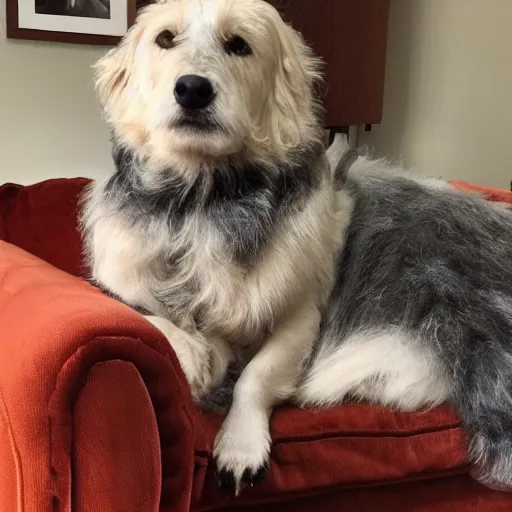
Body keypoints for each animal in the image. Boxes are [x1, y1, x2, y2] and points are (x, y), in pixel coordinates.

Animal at [82, 0, 512, 498]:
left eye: (239, 45)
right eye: (165, 39)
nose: (192, 89)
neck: (204, 202)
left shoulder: (301, 318)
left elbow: (256, 376)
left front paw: (239, 446)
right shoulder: (118, 280)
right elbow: (149, 317)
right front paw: (192, 354)